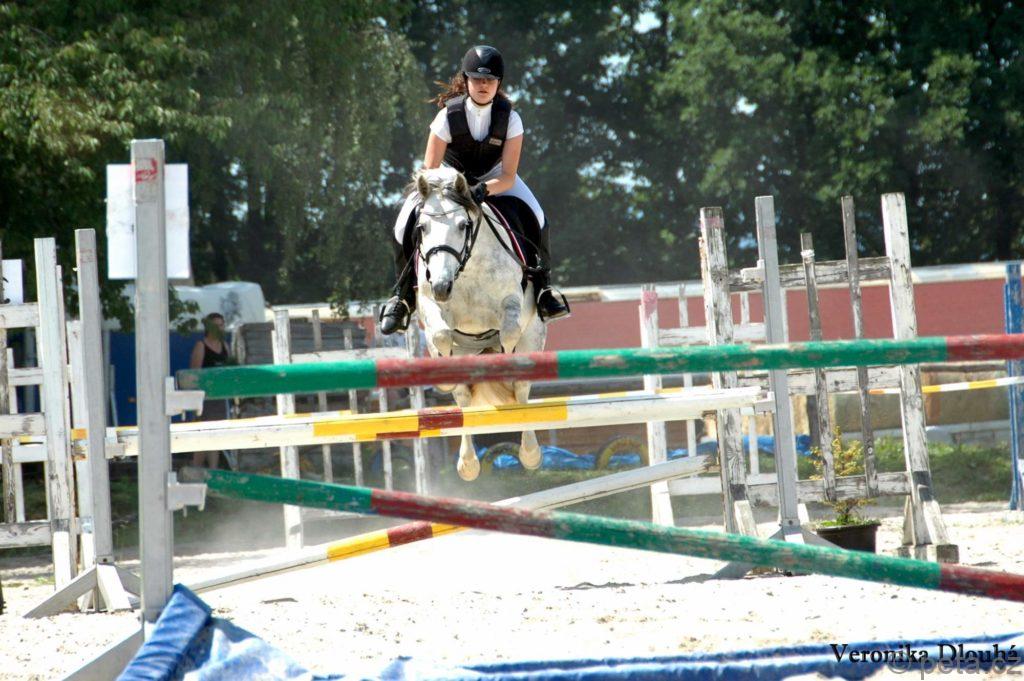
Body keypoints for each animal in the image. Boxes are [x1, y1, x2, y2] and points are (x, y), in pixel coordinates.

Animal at [410, 167, 546, 481]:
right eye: (422, 228)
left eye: (463, 225)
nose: (442, 286)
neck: (468, 268)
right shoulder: (431, 306)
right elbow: (441, 335)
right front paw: (444, 377)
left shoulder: (511, 302)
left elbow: (509, 332)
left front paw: (504, 368)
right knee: (463, 401)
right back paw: (468, 464)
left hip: (534, 336)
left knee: (522, 392)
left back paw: (530, 453)